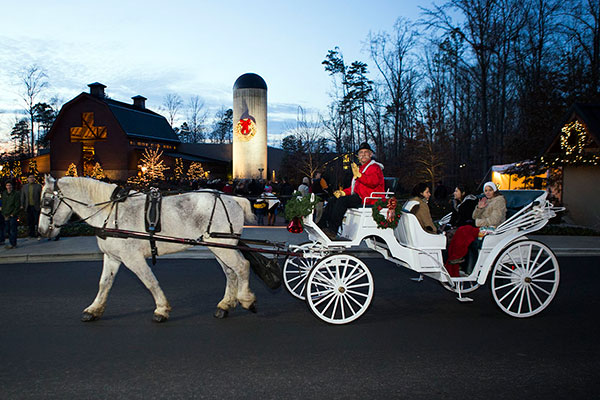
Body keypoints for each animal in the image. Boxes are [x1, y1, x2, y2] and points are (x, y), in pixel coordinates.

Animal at [37, 175, 258, 322]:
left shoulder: (132, 257)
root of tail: (233, 199)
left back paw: (246, 299)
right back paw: (225, 304)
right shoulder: (112, 257)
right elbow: (104, 283)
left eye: (47, 201)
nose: (41, 231)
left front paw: (161, 309)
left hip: (223, 247)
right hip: (219, 246)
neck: (111, 212)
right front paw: (93, 309)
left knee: (242, 266)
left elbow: (149, 281)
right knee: (230, 272)